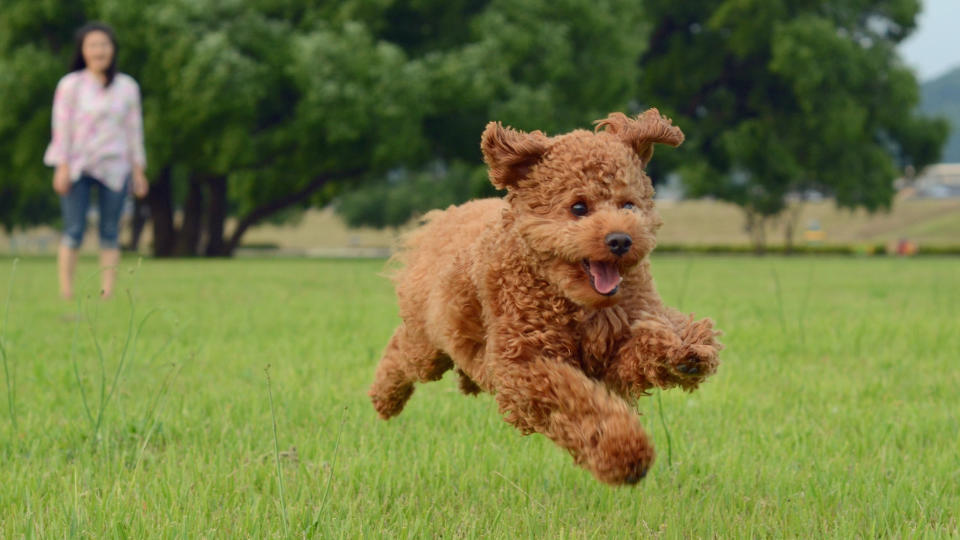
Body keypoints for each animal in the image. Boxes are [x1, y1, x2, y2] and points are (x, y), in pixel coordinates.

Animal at [368, 109, 720, 486]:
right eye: (578, 207)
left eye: (629, 204)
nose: (621, 240)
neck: (573, 299)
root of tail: (447, 214)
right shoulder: (524, 363)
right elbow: (579, 403)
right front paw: (625, 455)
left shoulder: (618, 337)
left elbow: (645, 344)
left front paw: (685, 351)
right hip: (427, 342)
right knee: (402, 350)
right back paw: (383, 401)